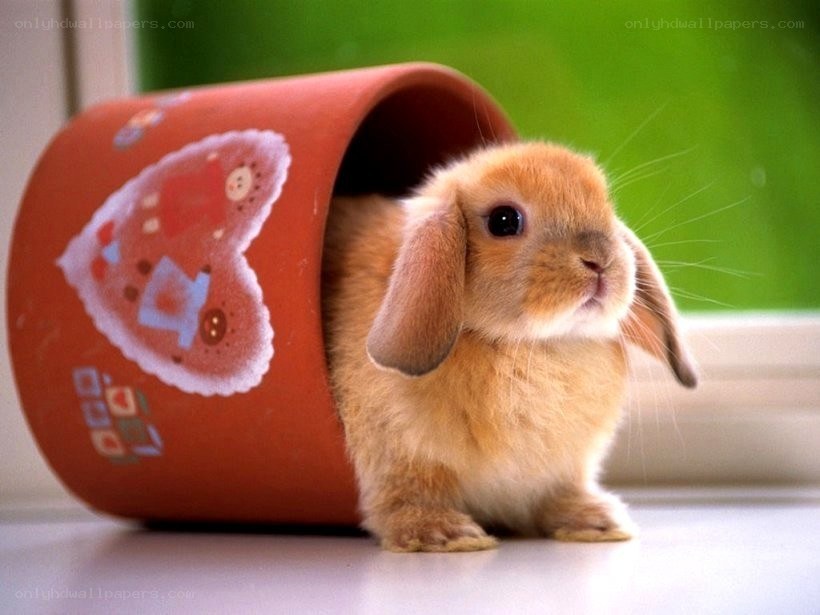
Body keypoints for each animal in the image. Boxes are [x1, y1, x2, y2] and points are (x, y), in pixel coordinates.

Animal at [321, 141, 697, 552]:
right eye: (504, 221)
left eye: (606, 207)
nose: (600, 261)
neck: (528, 345)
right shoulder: (401, 458)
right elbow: (404, 498)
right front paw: (448, 535)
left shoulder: (562, 471)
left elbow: (558, 495)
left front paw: (598, 522)